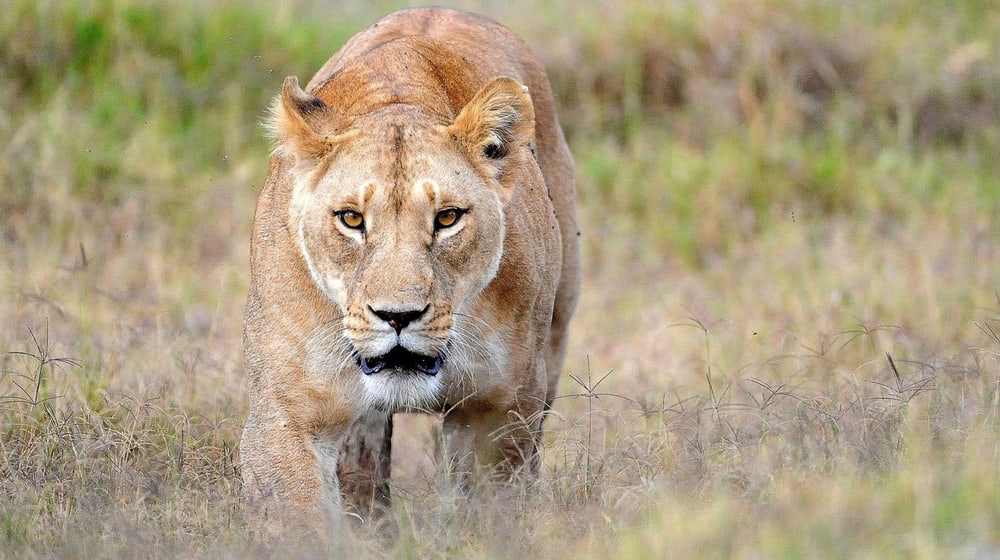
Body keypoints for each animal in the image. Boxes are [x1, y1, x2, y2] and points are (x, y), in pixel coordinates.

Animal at [239, 7, 580, 538]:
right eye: (351, 219)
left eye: (447, 218)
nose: (398, 316)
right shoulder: (286, 414)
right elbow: (299, 521)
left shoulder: (498, 410)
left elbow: (489, 513)